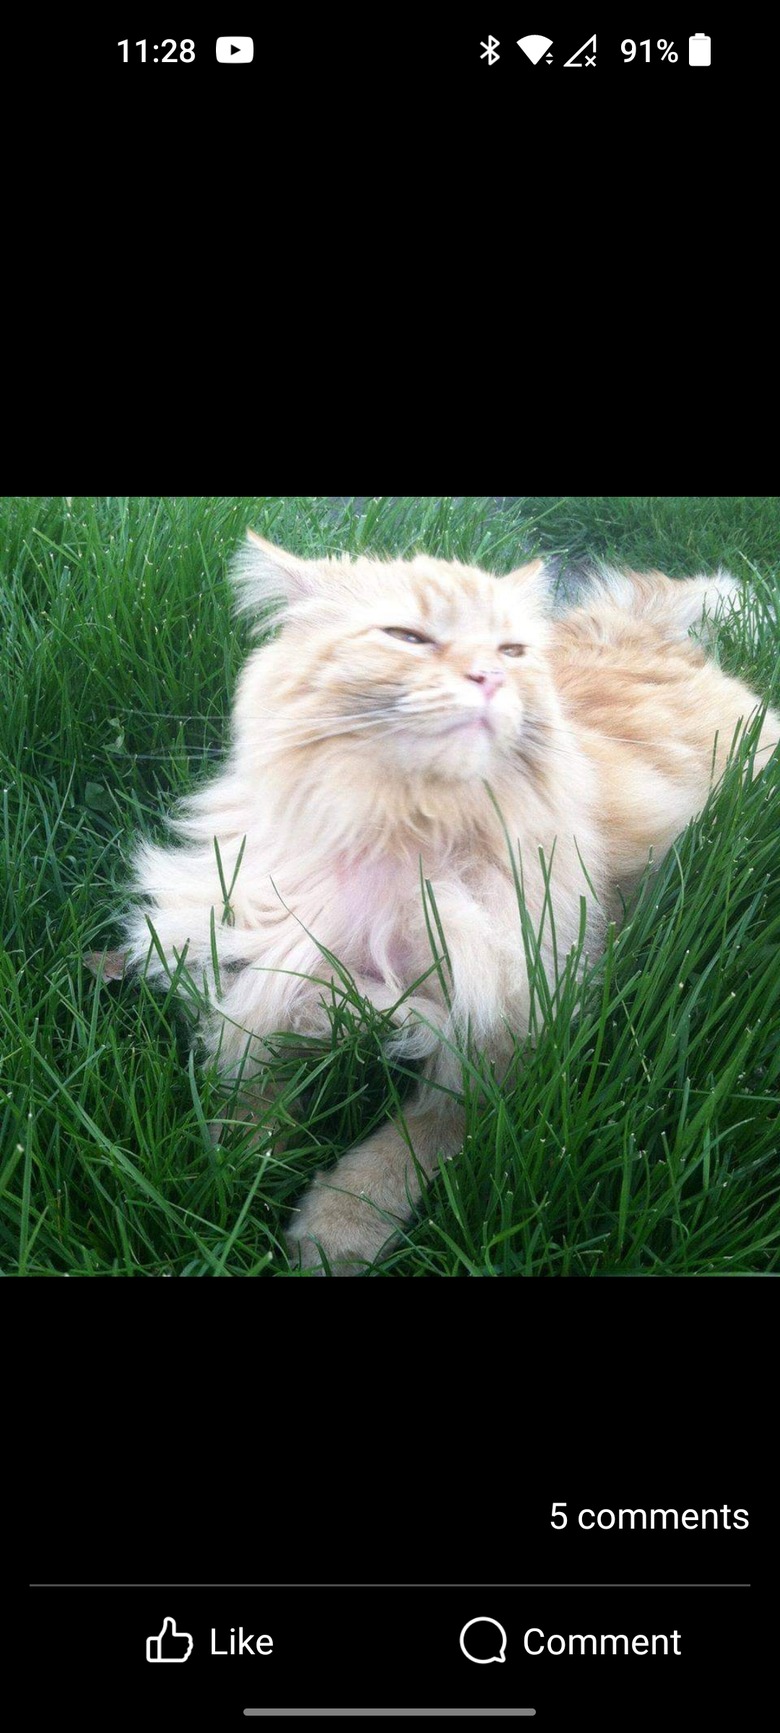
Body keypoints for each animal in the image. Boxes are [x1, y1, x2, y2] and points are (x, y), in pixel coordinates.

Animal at [117, 530, 780, 1275]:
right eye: (409, 637)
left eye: (511, 652)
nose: (488, 677)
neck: (403, 829)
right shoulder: (259, 965)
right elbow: (242, 1076)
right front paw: (239, 1165)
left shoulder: (511, 1023)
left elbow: (421, 1135)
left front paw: (340, 1225)